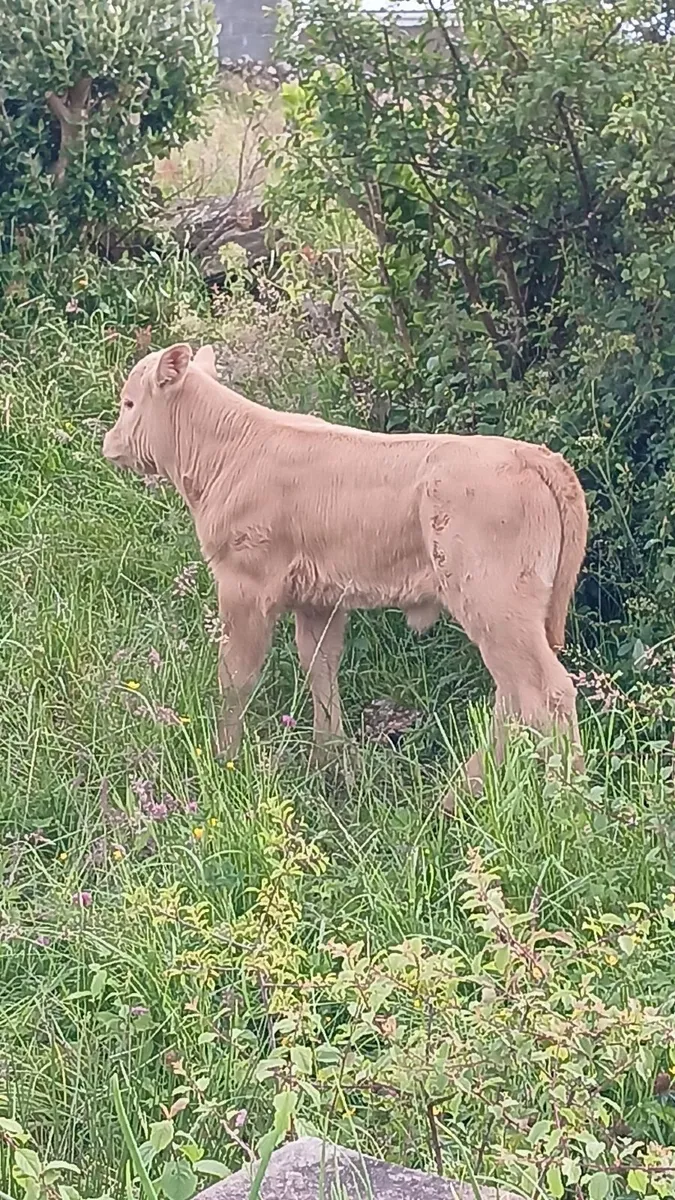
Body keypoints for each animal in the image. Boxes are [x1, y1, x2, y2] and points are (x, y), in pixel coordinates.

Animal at [102, 342, 588, 810]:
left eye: (129, 403)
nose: (109, 441)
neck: (228, 456)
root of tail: (532, 455)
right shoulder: (319, 598)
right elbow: (320, 667)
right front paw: (330, 760)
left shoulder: (244, 585)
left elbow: (236, 677)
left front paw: (226, 759)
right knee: (512, 696)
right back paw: (460, 795)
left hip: (494, 603)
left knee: (543, 693)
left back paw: (567, 800)